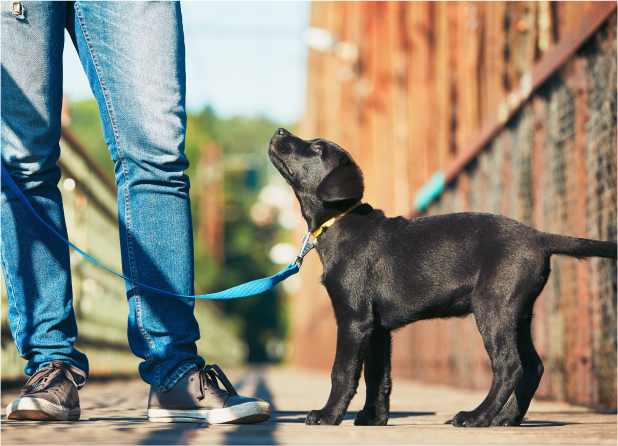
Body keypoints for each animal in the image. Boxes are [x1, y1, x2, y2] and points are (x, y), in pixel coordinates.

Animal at [268, 127, 616, 426]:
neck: (340, 221)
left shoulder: (354, 318)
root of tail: (538, 236)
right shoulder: (377, 328)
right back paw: (504, 418)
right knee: (532, 366)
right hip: (518, 313)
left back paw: (476, 417)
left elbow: (343, 371)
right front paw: (372, 418)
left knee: (509, 366)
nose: (279, 131)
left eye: (316, 148)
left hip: (493, 308)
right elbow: (378, 377)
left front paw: (328, 415)